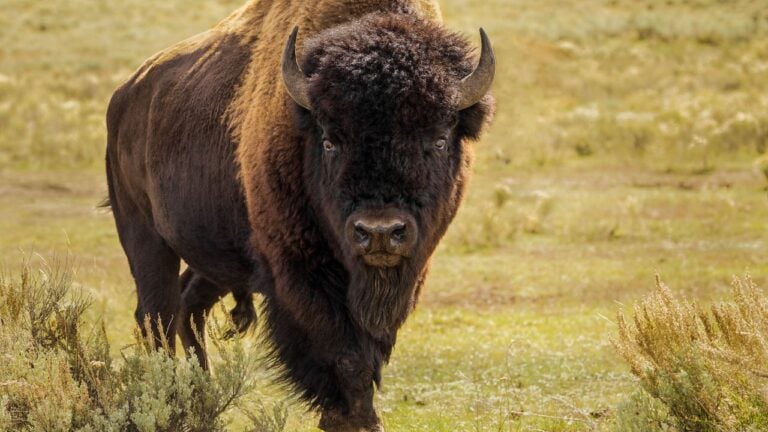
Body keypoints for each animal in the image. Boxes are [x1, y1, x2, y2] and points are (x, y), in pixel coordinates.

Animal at [105, 0, 494, 430]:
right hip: (143, 234)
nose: (379, 231)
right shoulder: (299, 272)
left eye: (439, 139)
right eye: (330, 141)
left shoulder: (408, 271)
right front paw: (351, 418)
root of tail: (126, 94)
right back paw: (172, 397)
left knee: (188, 306)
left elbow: (369, 346)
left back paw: (201, 392)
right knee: (156, 314)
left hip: (217, 257)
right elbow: (342, 350)